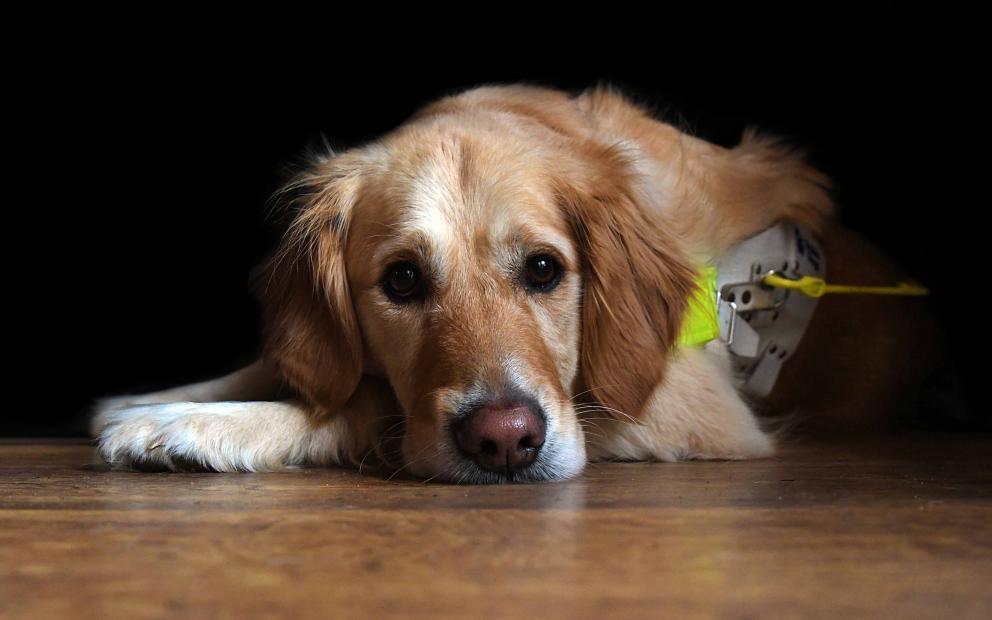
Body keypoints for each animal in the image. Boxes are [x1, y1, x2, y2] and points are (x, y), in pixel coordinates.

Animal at [87, 85, 936, 482]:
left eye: (544, 269)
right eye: (401, 280)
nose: (505, 442)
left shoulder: (696, 409)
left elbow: (363, 401)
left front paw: (200, 426)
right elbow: (299, 363)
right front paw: (158, 399)